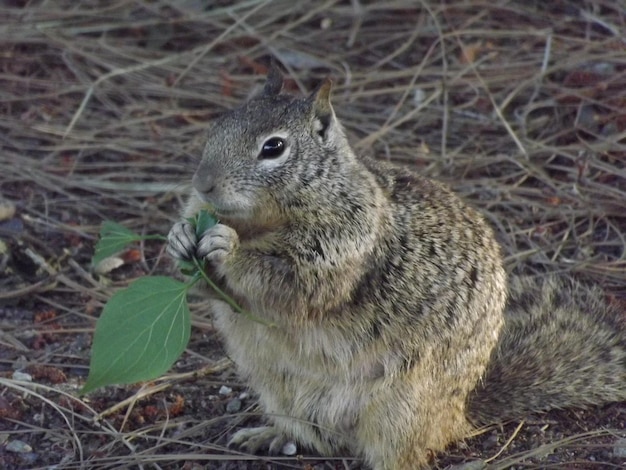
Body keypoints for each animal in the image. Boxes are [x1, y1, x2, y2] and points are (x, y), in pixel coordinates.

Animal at [167, 66, 624, 470]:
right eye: (217, 126)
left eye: (273, 147)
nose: (203, 183)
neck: (261, 222)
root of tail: (457, 416)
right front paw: (179, 237)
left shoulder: (341, 247)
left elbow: (293, 284)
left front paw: (227, 247)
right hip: (281, 393)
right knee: (320, 439)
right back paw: (271, 436)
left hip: (400, 410)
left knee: (396, 454)